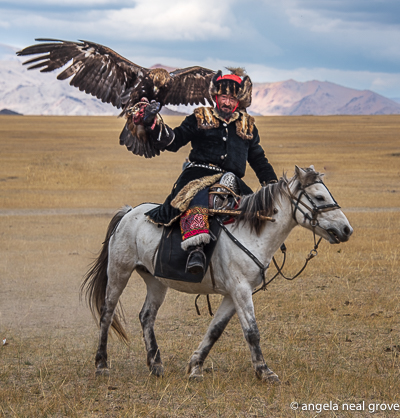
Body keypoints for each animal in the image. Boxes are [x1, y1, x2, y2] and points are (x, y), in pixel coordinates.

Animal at [81, 166, 354, 382]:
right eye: (319, 196)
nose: (346, 229)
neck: (250, 233)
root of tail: (129, 212)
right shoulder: (241, 290)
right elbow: (252, 331)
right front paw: (265, 372)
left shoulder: (233, 294)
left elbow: (215, 330)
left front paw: (195, 367)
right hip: (120, 270)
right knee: (107, 313)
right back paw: (102, 365)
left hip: (156, 280)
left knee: (146, 315)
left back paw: (156, 365)